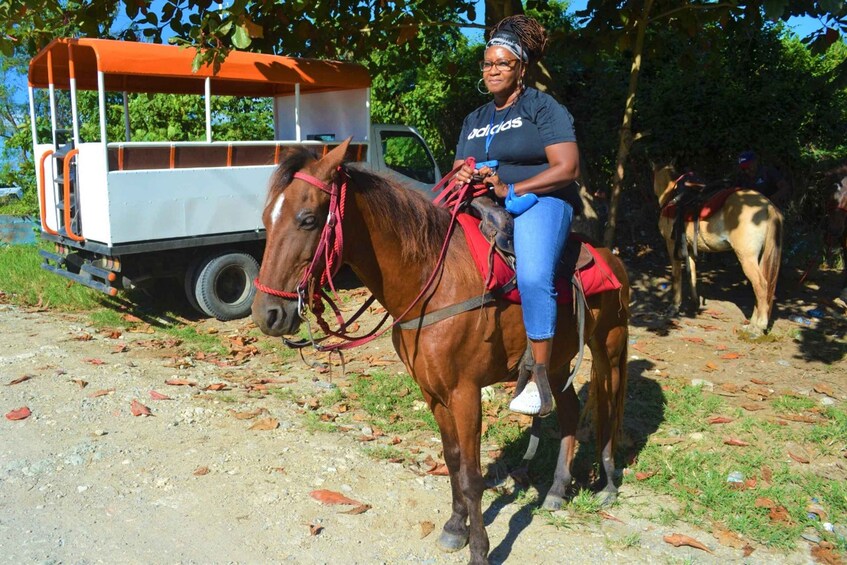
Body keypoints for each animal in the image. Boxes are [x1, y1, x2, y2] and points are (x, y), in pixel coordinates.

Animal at [252, 141, 628, 564]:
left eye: (308, 219)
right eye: (267, 219)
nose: (267, 314)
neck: (433, 281)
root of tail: (612, 256)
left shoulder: (465, 393)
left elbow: (472, 476)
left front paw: (479, 549)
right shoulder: (433, 391)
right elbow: (451, 461)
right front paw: (454, 528)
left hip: (610, 347)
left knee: (610, 408)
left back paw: (608, 485)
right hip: (560, 362)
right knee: (567, 414)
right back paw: (557, 491)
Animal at [652, 167, 784, 334]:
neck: (672, 196)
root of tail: (767, 205)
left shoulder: (671, 244)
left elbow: (676, 276)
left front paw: (674, 307)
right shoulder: (689, 249)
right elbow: (692, 275)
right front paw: (695, 305)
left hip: (746, 257)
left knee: (761, 285)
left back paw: (758, 327)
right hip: (759, 258)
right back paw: (753, 323)